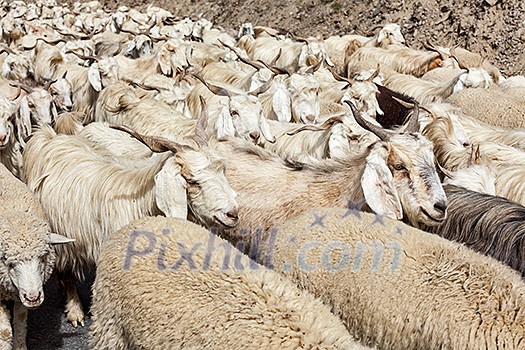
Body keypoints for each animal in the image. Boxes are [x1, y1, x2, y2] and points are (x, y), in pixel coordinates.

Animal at [0, 163, 72, 350]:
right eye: (9, 263)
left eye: (42, 258)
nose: (33, 298)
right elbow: (4, 332)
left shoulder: (20, 293)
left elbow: (20, 320)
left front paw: (20, 346)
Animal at [22, 122, 238, 326]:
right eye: (192, 181)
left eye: (223, 172)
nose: (233, 214)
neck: (142, 202)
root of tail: (50, 138)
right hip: (64, 239)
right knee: (66, 273)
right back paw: (75, 311)